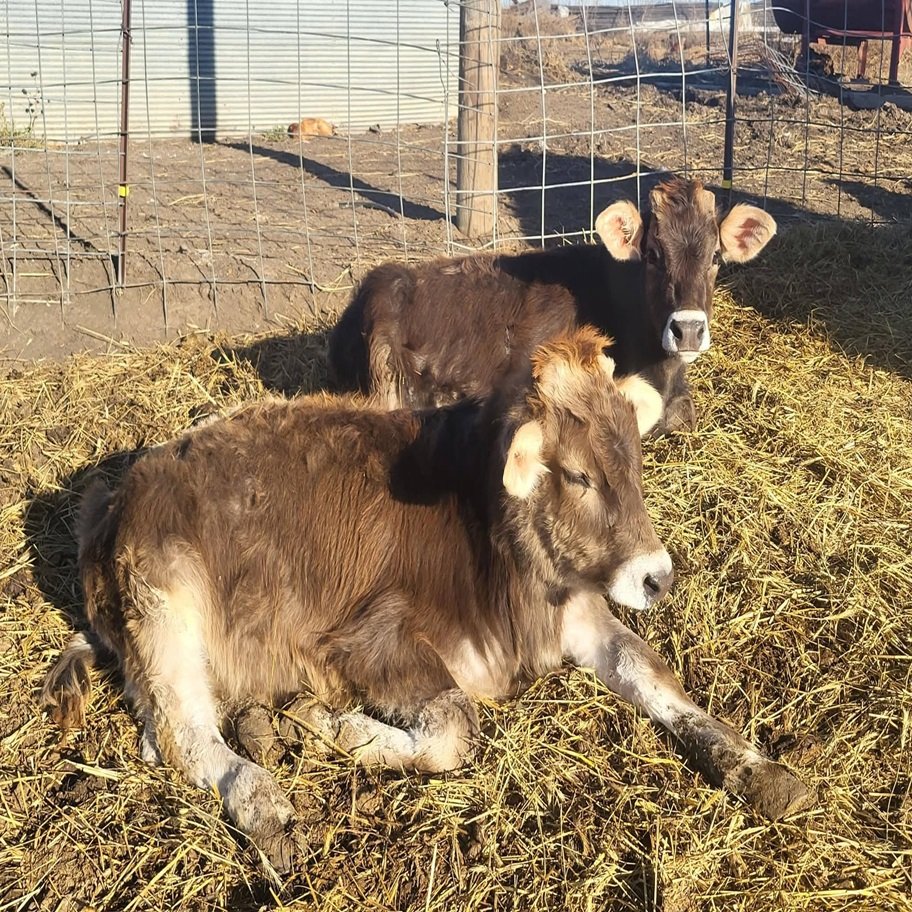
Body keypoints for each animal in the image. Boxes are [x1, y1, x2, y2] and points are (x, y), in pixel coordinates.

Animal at [42, 328, 807, 872]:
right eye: (579, 476)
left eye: (635, 462)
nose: (657, 576)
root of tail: (113, 497)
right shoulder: (368, 639)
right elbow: (454, 729)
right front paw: (331, 724)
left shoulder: (575, 608)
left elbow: (650, 673)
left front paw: (754, 764)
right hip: (167, 606)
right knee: (184, 736)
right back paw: (269, 804)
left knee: (164, 733)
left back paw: (262, 727)